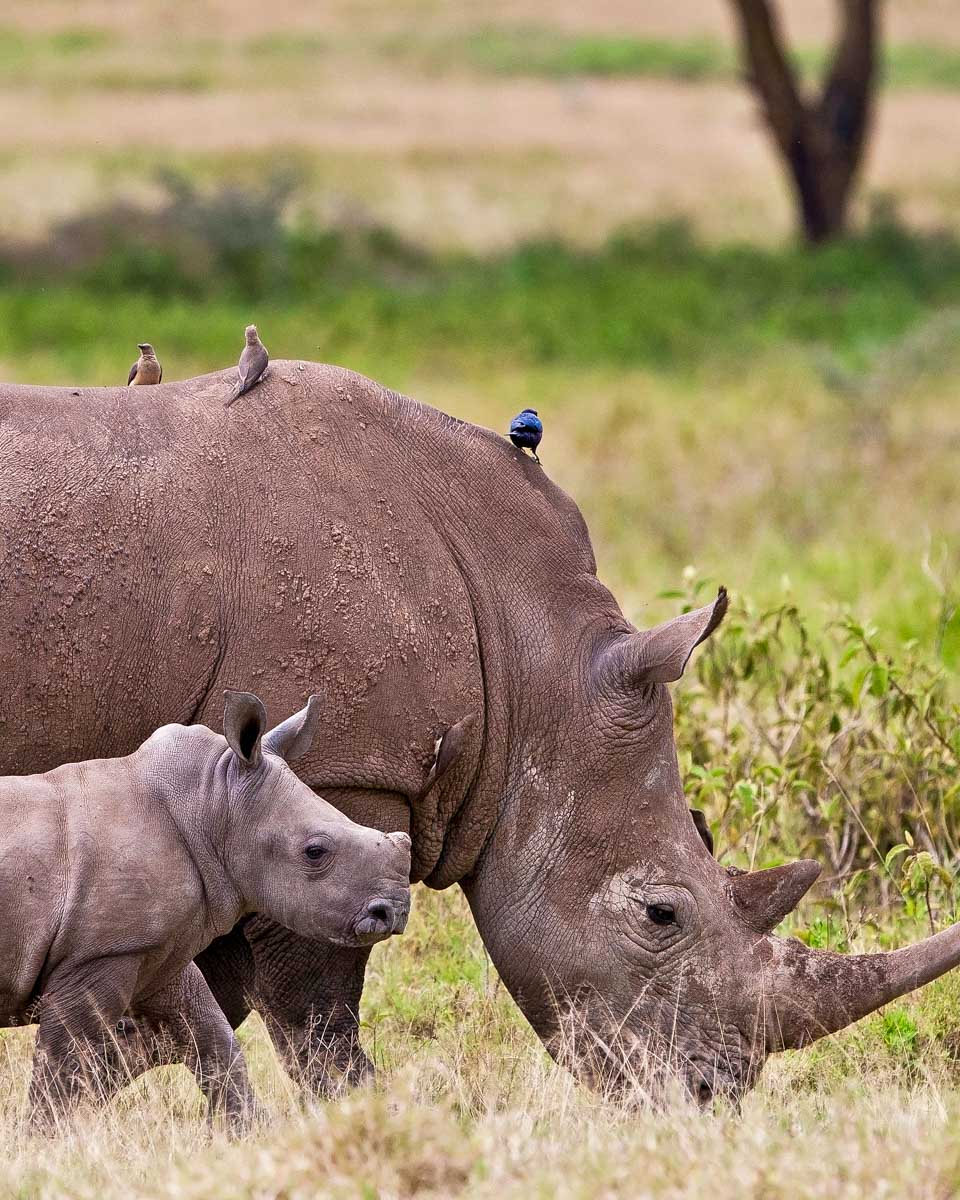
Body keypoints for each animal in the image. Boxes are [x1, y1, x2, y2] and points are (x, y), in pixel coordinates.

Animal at [0, 690, 411, 1124]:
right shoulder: (100, 953)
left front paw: (253, 1129)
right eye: (315, 852)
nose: (394, 911)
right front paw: (42, 1135)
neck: (213, 804)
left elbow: (212, 1035)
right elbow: (62, 1064)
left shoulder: (156, 949)